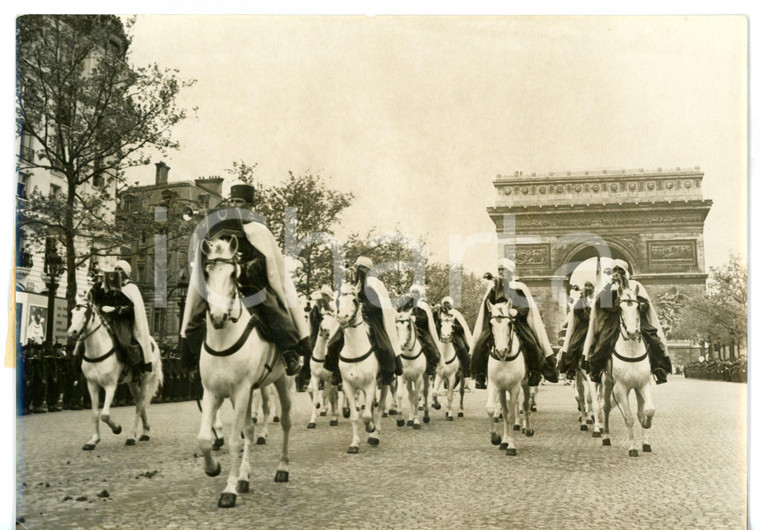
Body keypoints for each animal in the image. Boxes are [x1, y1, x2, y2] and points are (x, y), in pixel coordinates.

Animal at [68, 300, 163, 448]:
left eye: (86, 313)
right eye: (73, 312)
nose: (71, 333)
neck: (97, 351)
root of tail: (153, 342)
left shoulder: (110, 386)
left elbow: (105, 415)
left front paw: (117, 428)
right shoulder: (92, 385)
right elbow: (95, 414)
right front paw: (93, 440)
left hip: (145, 381)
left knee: (139, 405)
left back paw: (131, 436)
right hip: (133, 383)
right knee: (139, 403)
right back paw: (145, 431)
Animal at [196, 237, 294, 506]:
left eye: (233, 274)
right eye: (207, 272)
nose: (218, 317)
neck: (223, 340)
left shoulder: (239, 392)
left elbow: (233, 441)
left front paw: (228, 491)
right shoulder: (213, 392)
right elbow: (205, 438)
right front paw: (214, 469)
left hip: (282, 383)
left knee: (286, 423)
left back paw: (282, 468)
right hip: (250, 393)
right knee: (249, 431)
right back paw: (244, 477)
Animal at [336, 280, 388, 450]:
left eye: (354, 300)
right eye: (338, 300)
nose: (342, 317)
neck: (355, 349)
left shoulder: (371, 385)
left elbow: (366, 416)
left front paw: (371, 428)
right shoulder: (349, 386)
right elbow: (354, 416)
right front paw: (354, 444)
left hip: (385, 384)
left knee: (380, 408)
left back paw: (375, 435)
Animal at [486, 296, 536, 454]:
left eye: (509, 323)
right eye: (491, 324)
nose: (501, 350)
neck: (505, 358)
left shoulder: (515, 386)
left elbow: (512, 414)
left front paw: (512, 446)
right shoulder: (494, 384)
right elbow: (492, 409)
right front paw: (496, 438)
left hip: (525, 384)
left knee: (525, 404)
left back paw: (528, 429)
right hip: (503, 389)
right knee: (506, 408)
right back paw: (504, 441)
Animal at [604, 282, 656, 456]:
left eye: (638, 307)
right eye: (620, 309)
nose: (632, 332)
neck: (632, 351)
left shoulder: (643, 384)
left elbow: (648, 411)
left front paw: (646, 426)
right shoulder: (621, 388)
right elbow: (629, 418)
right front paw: (632, 447)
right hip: (607, 384)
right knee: (605, 408)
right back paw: (605, 436)